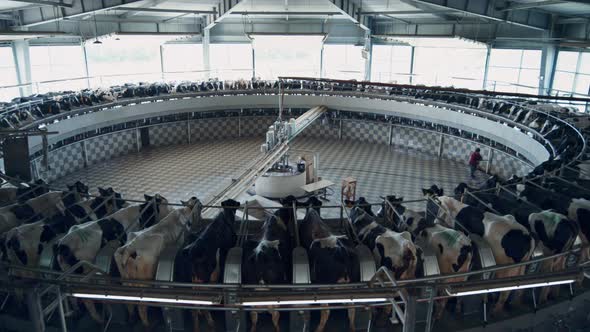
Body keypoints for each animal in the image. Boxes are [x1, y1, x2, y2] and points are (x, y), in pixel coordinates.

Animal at [298, 200, 358, 332]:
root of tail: (341, 251)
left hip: (324, 284)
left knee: (326, 311)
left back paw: (318, 329)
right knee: (352, 308)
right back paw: (352, 328)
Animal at [426, 185, 536, 316]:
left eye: (432, 206)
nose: (432, 221)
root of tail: (527, 236)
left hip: (507, 268)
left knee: (506, 290)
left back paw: (495, 309)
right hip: (521, 267)